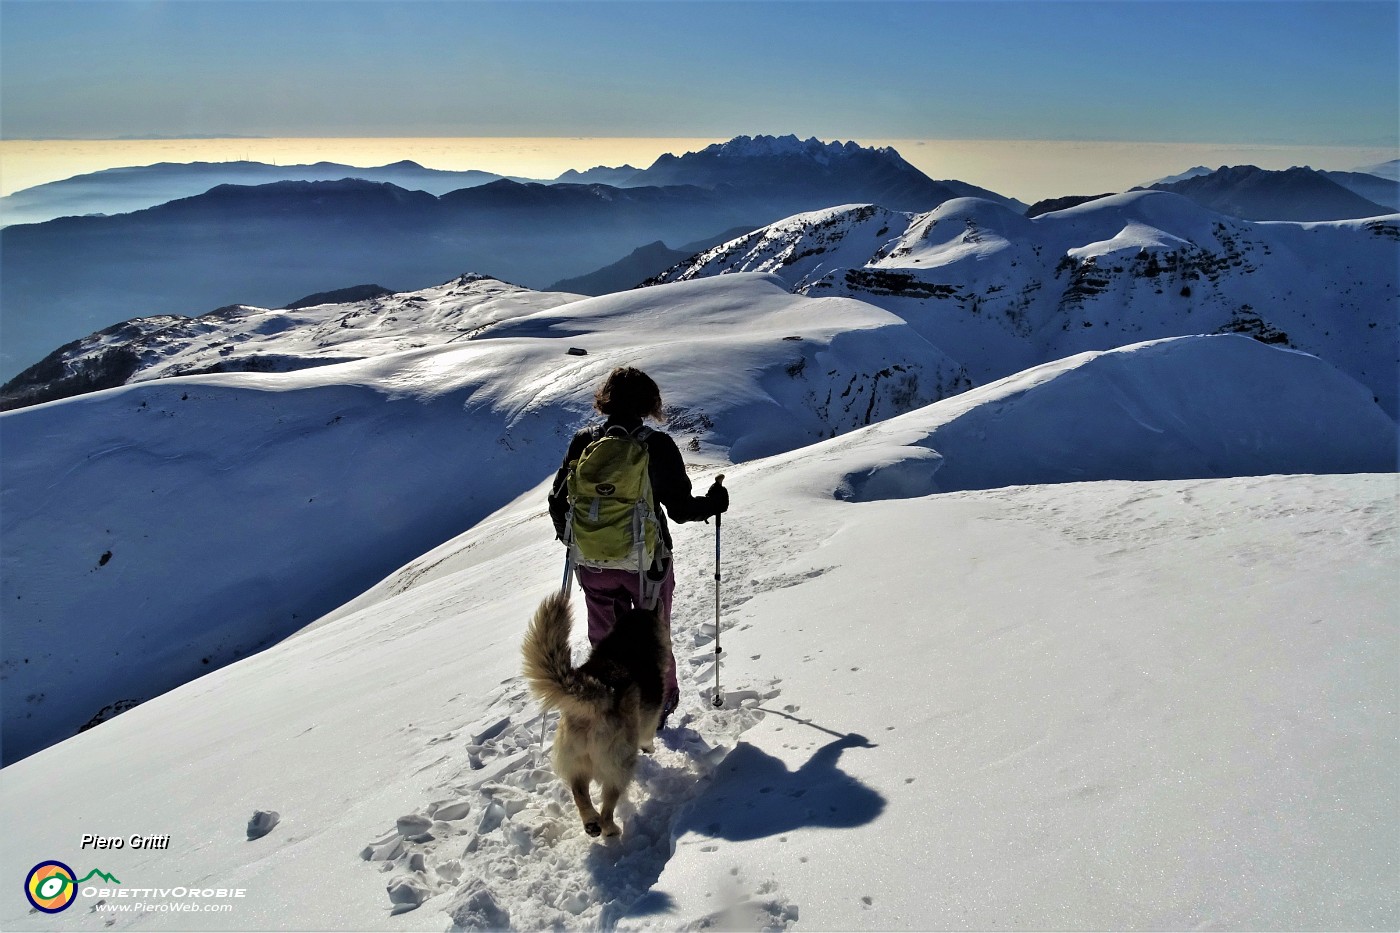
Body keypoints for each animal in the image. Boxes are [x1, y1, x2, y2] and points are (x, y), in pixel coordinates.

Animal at [523, 588, 669, 834]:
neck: (628, 640)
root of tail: (600, 693)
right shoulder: (651, 716)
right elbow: (648, 736)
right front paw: (650, 748)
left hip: (576, 758)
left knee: (579, 790)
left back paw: (591, 821)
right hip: (618, 763)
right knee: (608, 803)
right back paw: (610, 829)